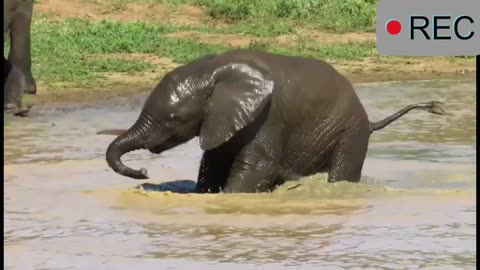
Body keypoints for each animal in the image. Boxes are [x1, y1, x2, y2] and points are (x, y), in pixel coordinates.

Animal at [101, 48, 446, 192]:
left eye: (172, 119)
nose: (144, 172)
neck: (215, 68)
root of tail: (369, 119)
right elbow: (212, 164)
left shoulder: (269, 116)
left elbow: (258, 167)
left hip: (351, 132)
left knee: (341, 173)